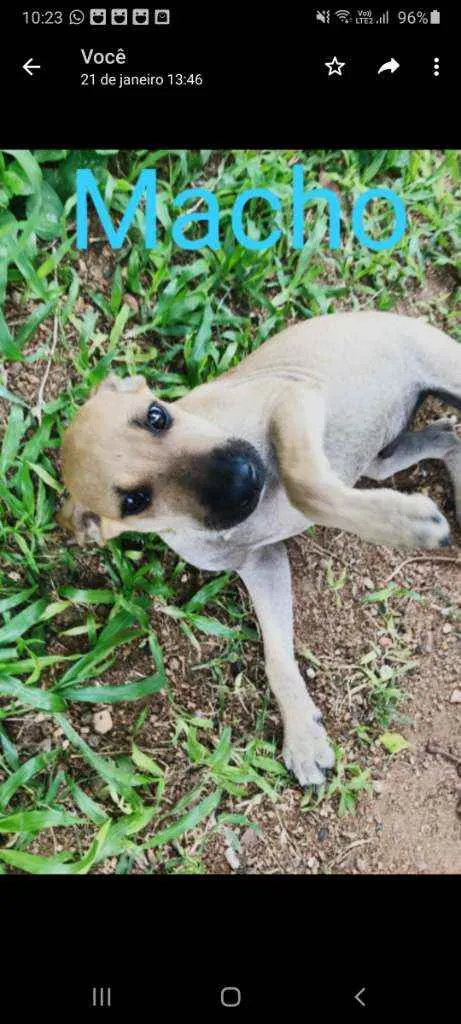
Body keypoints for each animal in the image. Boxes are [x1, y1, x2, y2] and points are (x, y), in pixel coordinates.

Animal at [58, 311, 461, 782]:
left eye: (157, 417)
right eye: (135, 501)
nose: (243, 476)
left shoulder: (291, 396)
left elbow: (306, 486)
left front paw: (403, 523)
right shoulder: (261, 564)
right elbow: (277, 655)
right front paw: (303, 736)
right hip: (380, 459)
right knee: (445, 438)